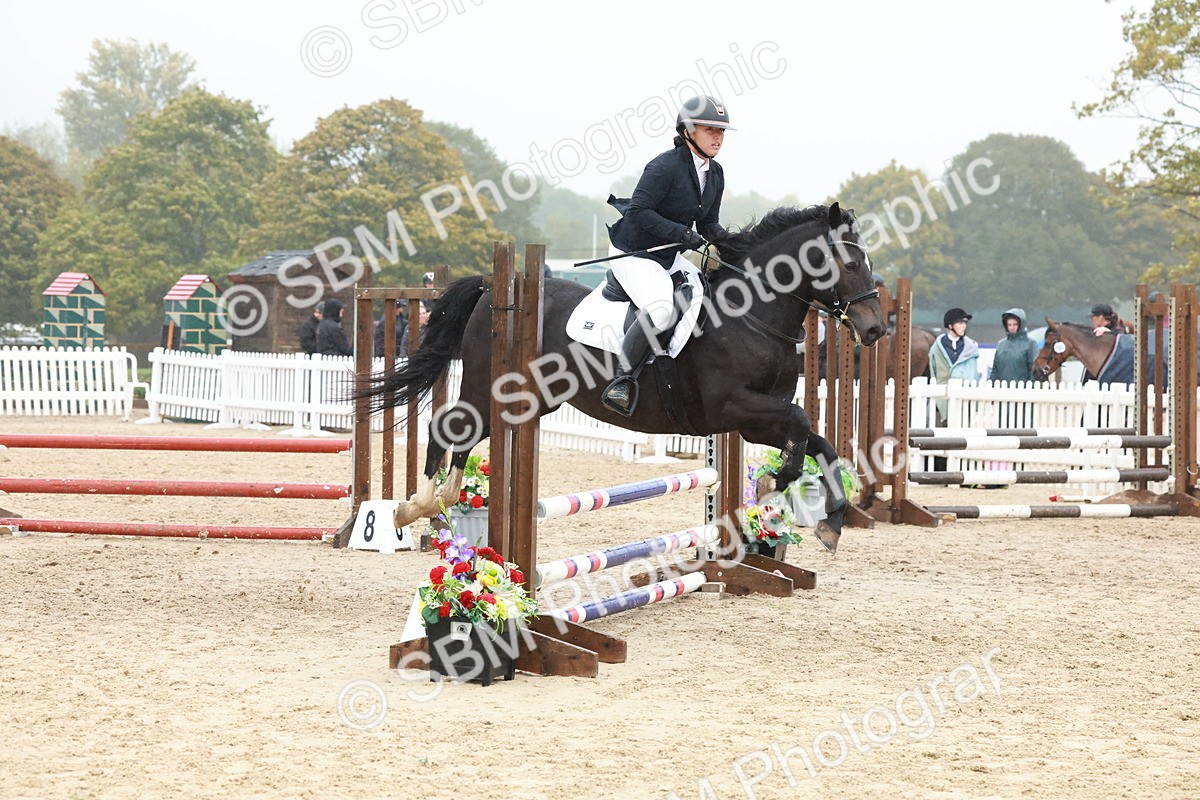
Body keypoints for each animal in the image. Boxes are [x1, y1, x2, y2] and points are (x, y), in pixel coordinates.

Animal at [360, 203, 888, 553]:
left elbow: (819, 442)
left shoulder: (752, 422)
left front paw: (830, 520)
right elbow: (802, 423)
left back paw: (442, 503)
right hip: (490, 384)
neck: (751, 314)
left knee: (468, 434)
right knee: (449, 428)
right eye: (850, 262)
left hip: (530, 399)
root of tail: (495, 289)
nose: (875, 329)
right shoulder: (733, 406)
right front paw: (780, 480)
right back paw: (415, 508)